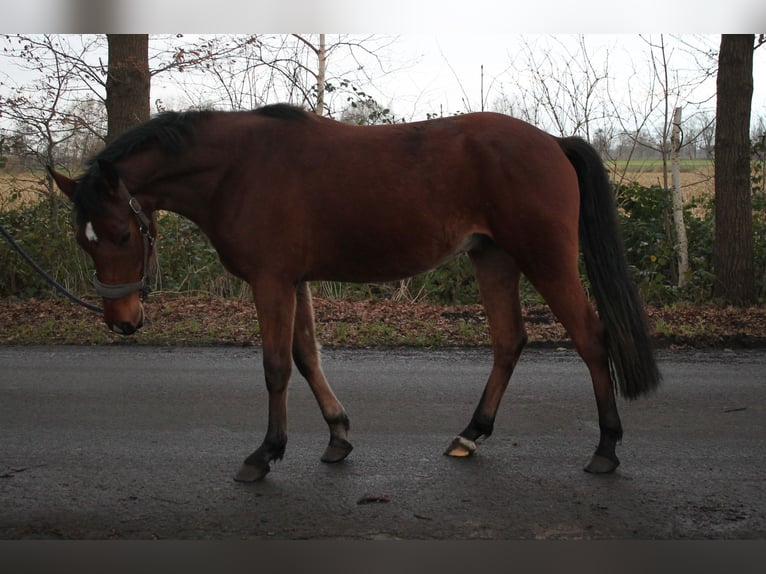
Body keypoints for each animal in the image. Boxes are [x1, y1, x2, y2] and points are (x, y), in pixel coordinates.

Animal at [49, 103, 660, 482]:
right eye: (83, 240)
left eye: (122, 235)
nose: (122, 319)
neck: (238, 170)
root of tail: (552, 142)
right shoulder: (293, 281)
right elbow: (305, 356)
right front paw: (337, 436)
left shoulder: (272, 281)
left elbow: (276, 365)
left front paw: (265, 453)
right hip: (493, 257)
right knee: (510, 341)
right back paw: (471, 434)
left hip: (544, 259)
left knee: (591, 338)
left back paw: (606, 448)